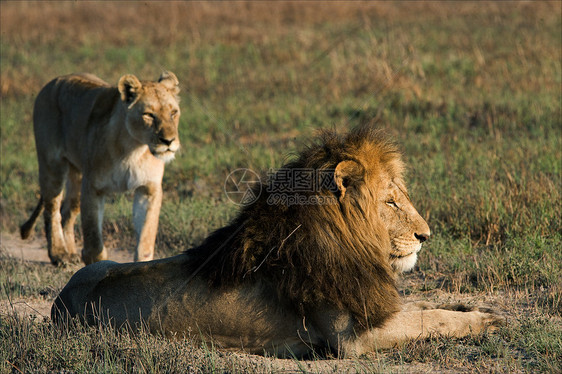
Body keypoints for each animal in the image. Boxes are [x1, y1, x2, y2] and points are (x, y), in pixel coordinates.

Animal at [19, 72, 180, 266]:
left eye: (173, 113)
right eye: (149, 115)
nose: (169, 141)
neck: (133, 148)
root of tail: (54, 81)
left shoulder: (149, 189)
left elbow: (146, 238)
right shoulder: (93, 187)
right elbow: (93, 239)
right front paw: (96, 265)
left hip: (77, 174)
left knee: (67, 211)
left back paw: (71, 252)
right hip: (52, 165)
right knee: (52, 210)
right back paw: (60, 254)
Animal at [52, 126, 498, 356]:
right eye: (390, 201)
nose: (427, 236)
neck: (349, 242)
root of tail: (60, 301)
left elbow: (422, 307)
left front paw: (473, 307)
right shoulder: (351, 340)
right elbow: (428, 320)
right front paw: (484, 321)